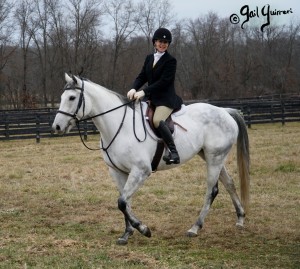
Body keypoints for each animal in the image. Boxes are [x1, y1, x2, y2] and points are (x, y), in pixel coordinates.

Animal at [52, 74, 250, 245]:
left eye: (71, 97)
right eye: (62, 97)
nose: (57, 126)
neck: (119, 127)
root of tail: (224, 111)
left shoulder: (141, 170)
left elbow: (122, 202)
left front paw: (144, 229)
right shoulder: (117, 171)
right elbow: (125, 202)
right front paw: (127, 234)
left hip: (214, 158)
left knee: (211, 190)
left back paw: (195, 227)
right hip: (211, 156)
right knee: (229, 183)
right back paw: (240, 218)